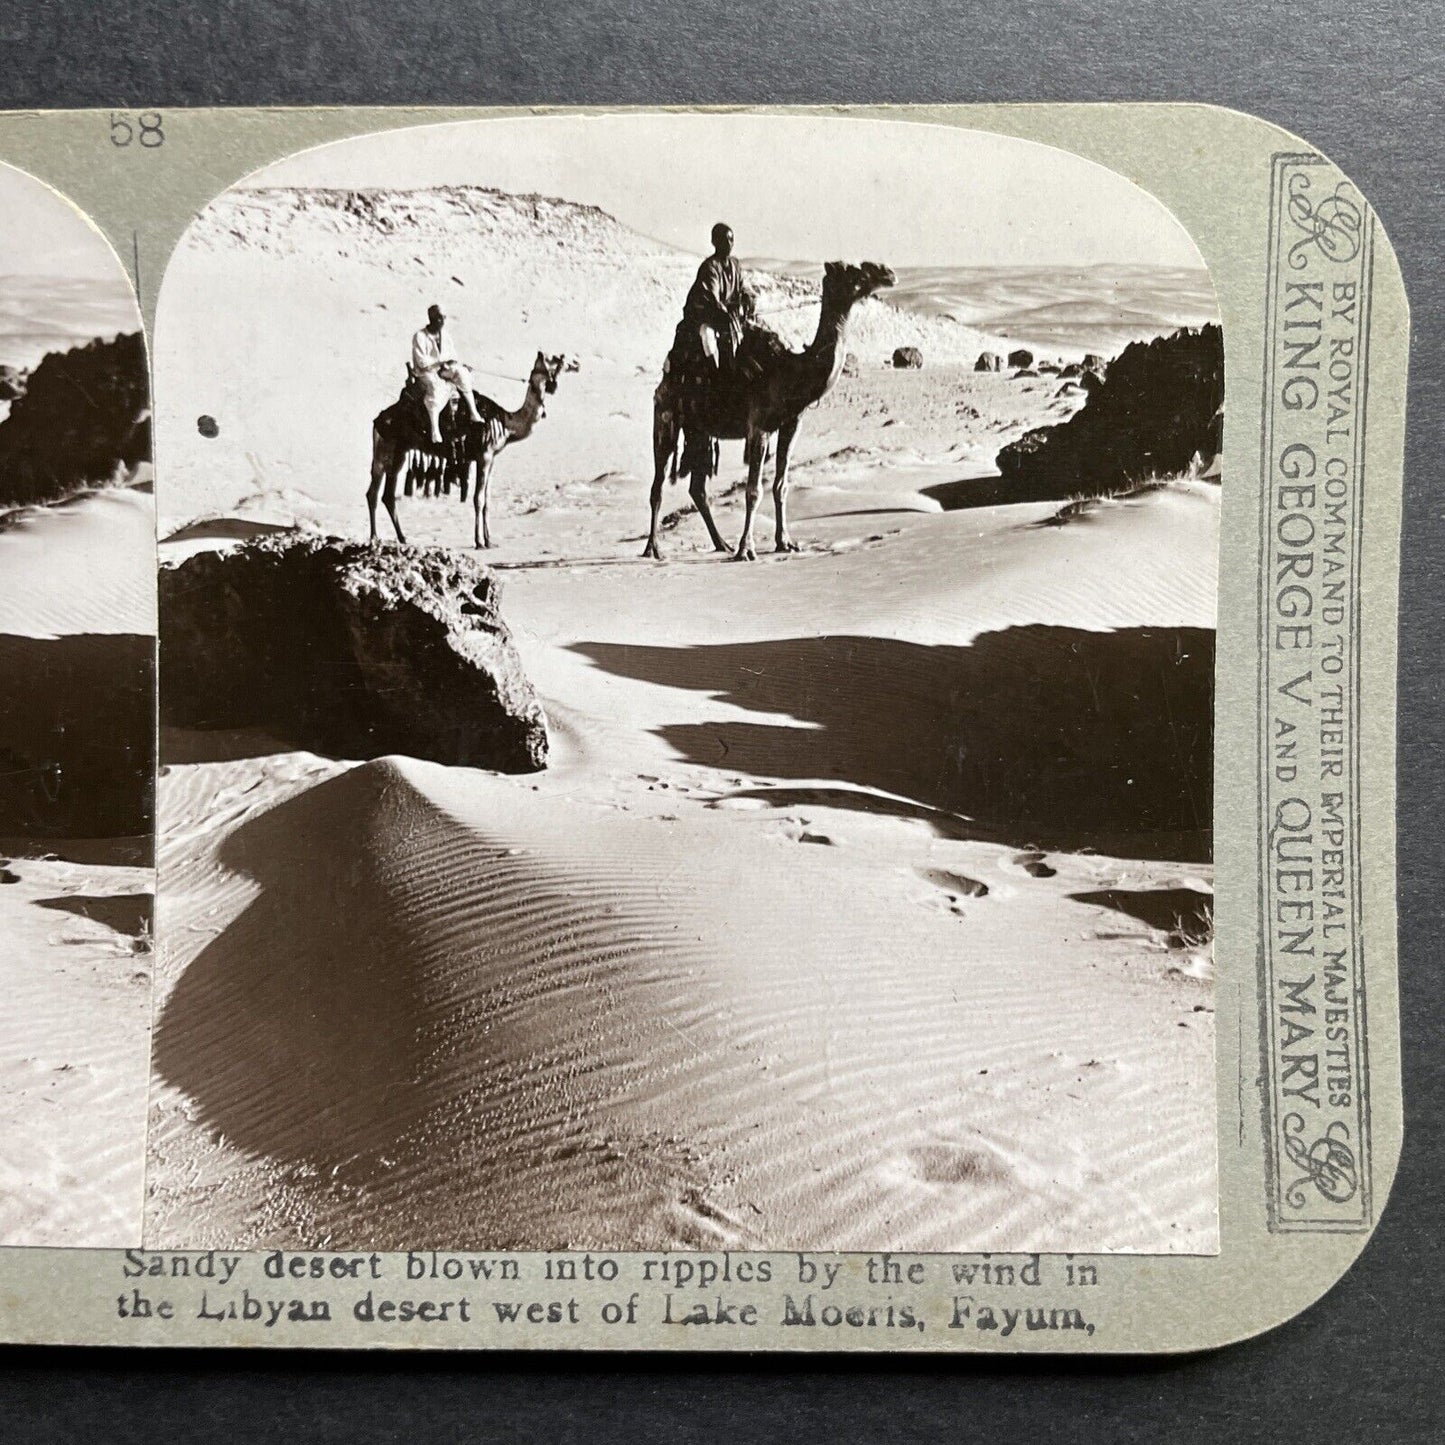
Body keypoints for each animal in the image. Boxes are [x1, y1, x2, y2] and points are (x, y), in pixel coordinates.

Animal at [367, 352, 563, 549]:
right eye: (551, 360)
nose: (566, 361)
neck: (507, 423)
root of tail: (378, 419)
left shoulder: (492, 458)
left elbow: (487, 499)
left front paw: (489, 540)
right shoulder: (484, 455)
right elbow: (479, 499)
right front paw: (479, 541)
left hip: (397, 453)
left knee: (385, 495)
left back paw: (401, 538)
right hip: (385, 449)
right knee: (375, 493)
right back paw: (375, 538)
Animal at [650, 258, 895, 557]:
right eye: (851, 271)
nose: (887, 272)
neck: (790, 371)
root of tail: (664, 379)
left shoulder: (791, 423)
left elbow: (781, 485)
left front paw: (785, 542)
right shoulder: (759, 427)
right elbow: (753, 491)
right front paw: (746, 549)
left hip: (700, 431)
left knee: (698, 488)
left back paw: (721, 544)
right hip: (666, 418)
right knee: (658, 485)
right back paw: (653, 549)